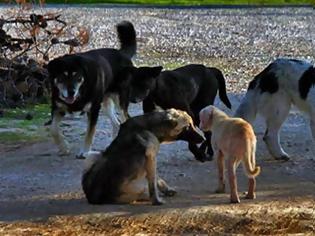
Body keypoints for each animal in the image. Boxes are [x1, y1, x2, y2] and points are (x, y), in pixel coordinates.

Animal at [47, 20, 163, 159]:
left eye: (77, 76)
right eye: (62, 76)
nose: (71, 92)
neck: (81, 92)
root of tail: (122, 53)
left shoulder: (93, 109)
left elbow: (90, 132)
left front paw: (84, 151)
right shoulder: (57, 108)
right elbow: (53, 129)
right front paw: (64, 147)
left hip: (120, 100)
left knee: (125, 119)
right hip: (106, 102)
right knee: (117, 124)